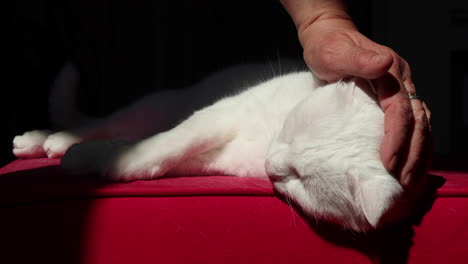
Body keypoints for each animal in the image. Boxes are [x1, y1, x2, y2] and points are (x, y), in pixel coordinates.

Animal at [12, 62, 408, 231]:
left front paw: (114, 161)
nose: (272, 164)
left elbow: (168, 157)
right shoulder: (221, 113)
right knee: (100, 124)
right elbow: (173, 141)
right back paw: (46, 140)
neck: (267, 136)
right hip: (159, 104)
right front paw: (110, 159)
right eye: (290, 131)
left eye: (299, 179)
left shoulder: (223, 159)